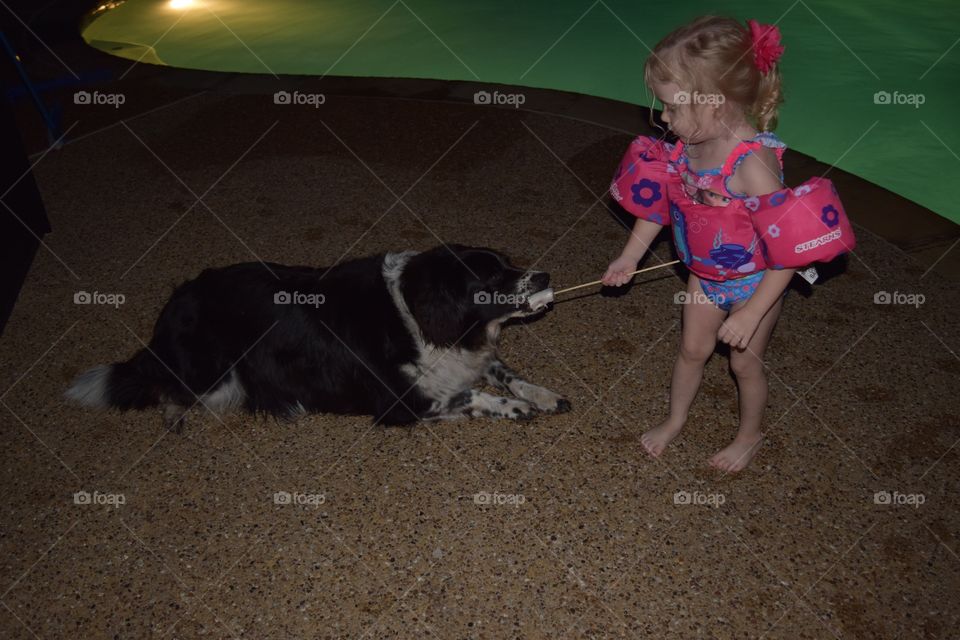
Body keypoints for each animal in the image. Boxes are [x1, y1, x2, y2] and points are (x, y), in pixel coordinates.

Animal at [69, 245, 568, 430]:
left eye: (508, 263)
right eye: (492, 276)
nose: (545, 275)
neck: (414, 312)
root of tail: (171, 310)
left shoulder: (473, 358)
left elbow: (505, 374)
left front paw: (542, 394)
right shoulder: (400, 404)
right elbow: (472, 395)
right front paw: (512, 407)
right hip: (213, 370)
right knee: (162, 384)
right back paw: (174, 412)